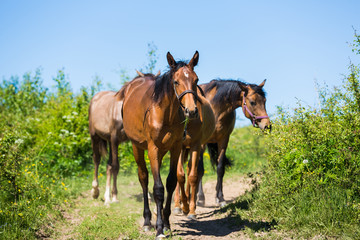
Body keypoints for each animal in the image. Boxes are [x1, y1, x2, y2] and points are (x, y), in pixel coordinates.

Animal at [88, 71, 159, 204]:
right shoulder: (115, 138)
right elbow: (116, 166)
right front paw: (113, 197)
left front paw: (147, 196)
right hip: (95, 136)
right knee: (97, 160)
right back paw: (95, 191)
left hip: (109, 141)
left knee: (108, 165)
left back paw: (107, 195)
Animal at [121, 51, 200, 238]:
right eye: (176, 81)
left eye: (196, 80)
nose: (192, 111)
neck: (165, 114)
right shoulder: (153, 149)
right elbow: (158, 188)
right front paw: (158, 229)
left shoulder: (175, 148)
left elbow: (171, 183)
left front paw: (166, 224)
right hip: (137, 148)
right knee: (143, 178)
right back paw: (147, 221)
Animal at [173, 86, 215, 219]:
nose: (191, 111)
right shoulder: (180, 147)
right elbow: (179, 175)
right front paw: (182, 205)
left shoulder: (196, 146)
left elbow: (193, 176)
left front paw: (190, 210)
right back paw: (178, 205)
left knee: (191, 169)